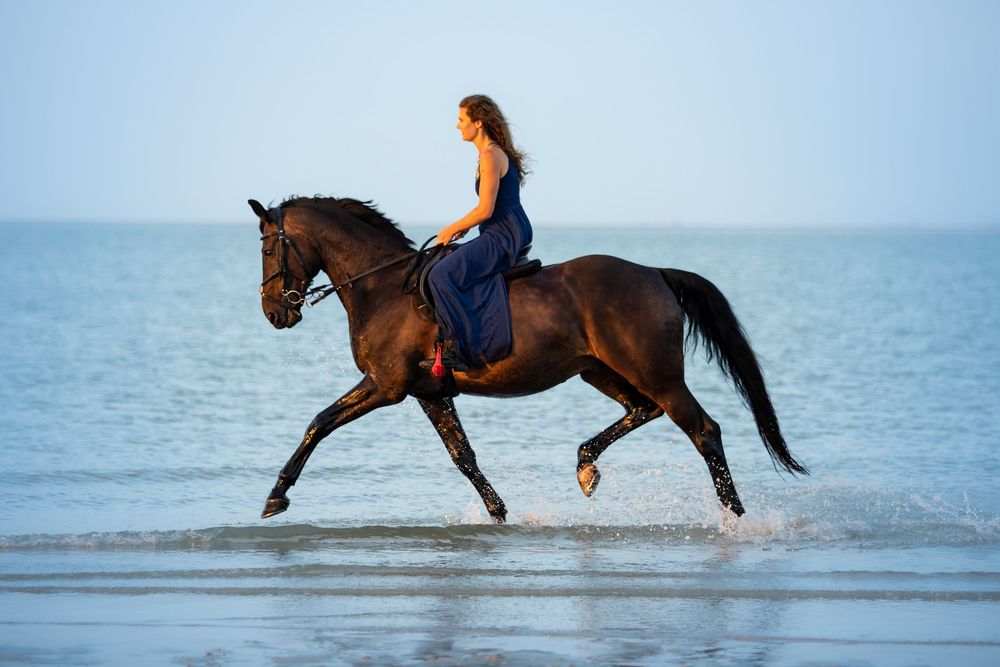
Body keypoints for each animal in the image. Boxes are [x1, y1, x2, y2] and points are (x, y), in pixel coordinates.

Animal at [249, 196, 808, 523]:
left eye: (268, 250)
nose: (274, 312)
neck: (382, 284)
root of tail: (655, 273)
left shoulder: (385, 386)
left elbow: (318, 423)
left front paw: (277, 495)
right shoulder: (429, 393)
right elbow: (463, 455)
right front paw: (497, 511)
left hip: (657, 374)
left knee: (703, 430)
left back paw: (735, 517)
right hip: (600, 371)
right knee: (641, 410)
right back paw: (586, 466)